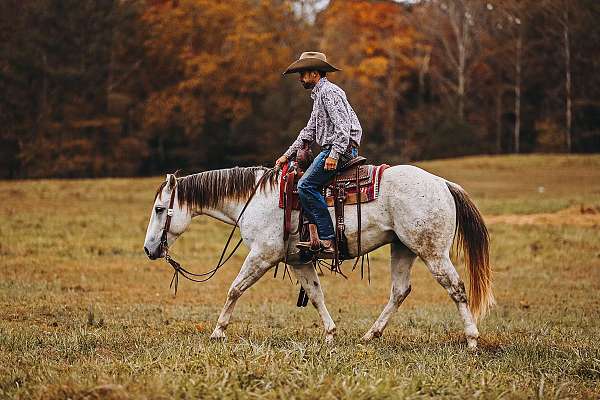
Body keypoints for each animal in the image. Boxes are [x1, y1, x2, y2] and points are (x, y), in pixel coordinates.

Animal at [143, 165, 494, 346]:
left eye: (160, 209)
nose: (149, 249)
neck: (254, 199)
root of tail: (442, 183)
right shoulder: (298, 261)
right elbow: (315, 295)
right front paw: (330, 334)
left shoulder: (262, 255)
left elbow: (235, 289)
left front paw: (218, 331)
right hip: (403, 248)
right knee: (400, 291)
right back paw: (370, 335)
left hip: (431, 251)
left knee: (456, 288)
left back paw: (472, 340)